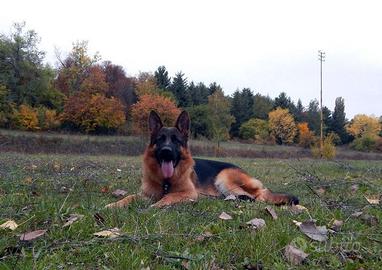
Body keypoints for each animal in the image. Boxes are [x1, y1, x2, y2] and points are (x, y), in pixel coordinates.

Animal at [106, 110, 300, 208]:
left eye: (176, 141)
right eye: (160, 139)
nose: (167, 152)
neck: (166, 181)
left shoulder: (188, 193)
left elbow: (168, 198)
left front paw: (155, 206)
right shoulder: (144, 194)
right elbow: (129, 197)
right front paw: (114, 205)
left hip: (224, 177)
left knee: (257, 196)